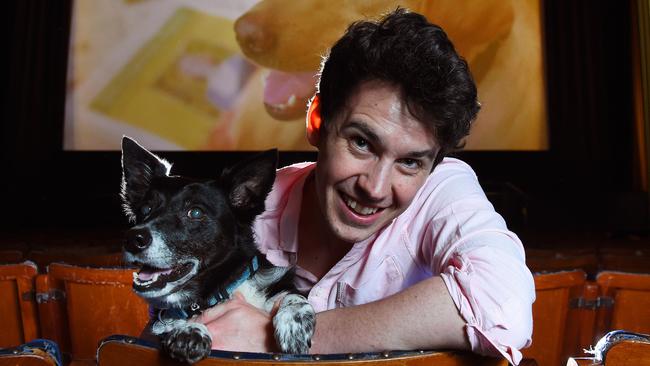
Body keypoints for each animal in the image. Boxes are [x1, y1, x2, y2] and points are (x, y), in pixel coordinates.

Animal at [121, 137, 316, 364]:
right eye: (145, 209)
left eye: (195, 212)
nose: (133, 239)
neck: (221, 290)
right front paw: (189, 331)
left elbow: (293, 297)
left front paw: (294, 325)